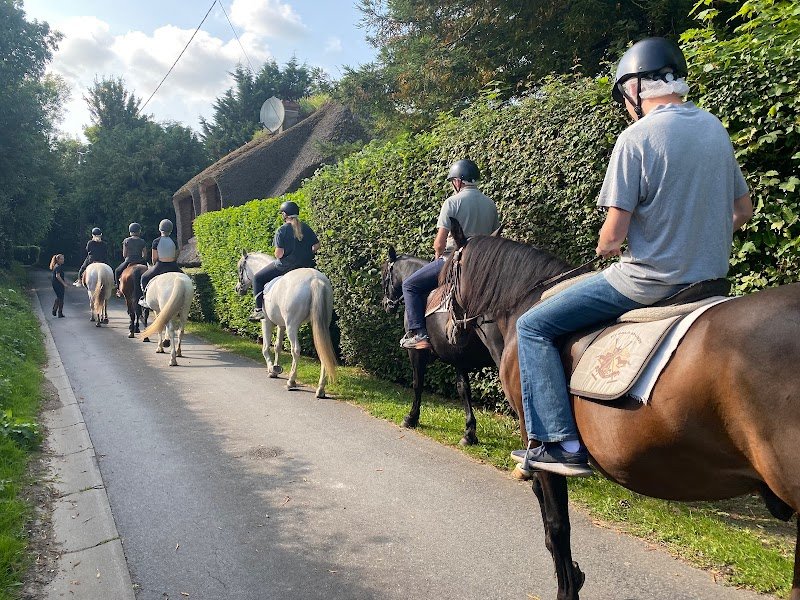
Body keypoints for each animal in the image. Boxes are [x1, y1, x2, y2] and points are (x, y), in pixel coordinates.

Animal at [235, 250, 336, 398]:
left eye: (240, 269)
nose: (237, 289)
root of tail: (315, 279)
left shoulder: (267, 322)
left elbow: (266, 347)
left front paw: (271, 369)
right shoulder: (281, 325)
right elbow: (277, 346)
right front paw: (276, 368)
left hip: (292, 326)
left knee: (296, 350)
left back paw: (291, 382)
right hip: (320, 325)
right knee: (322, 350)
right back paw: (320, 389)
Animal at [380, 246, 504, 446]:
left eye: (384, 275)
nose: (386, 304)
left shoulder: (416, 354)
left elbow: (417, 383)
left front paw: (411, 418)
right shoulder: (459, 359)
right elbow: (463, 389)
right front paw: (469, 432)